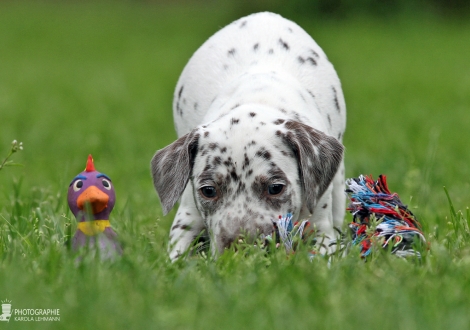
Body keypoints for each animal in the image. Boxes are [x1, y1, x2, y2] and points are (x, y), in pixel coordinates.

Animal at [151, 11, 346, 260]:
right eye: (208, 191)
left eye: (275, 188)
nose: (241, 249)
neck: (258, 98)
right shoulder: (186, 217)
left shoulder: (320, 228)